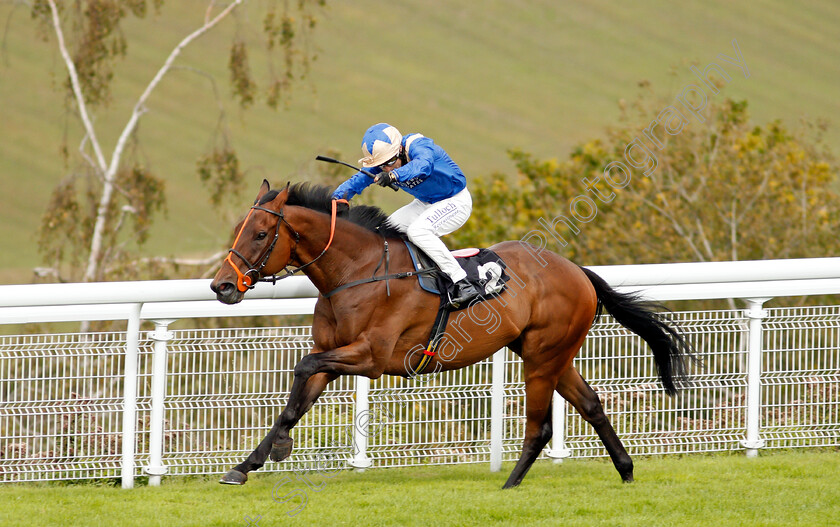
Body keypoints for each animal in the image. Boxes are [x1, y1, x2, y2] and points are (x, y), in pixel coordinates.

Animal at [208, 180, 688, 486]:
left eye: (261, 233)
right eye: (237, 231)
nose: (222, 286)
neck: (357, 273)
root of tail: (578, 272)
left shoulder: (372, 357)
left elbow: (303, 367)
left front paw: (278, 448)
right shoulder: (335, 352)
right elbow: (295, 400)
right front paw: (248, 464)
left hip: (542, 357)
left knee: (540, 426)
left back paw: (510, 484)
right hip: (552, 354)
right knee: (590, 404)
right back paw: (625, 470)